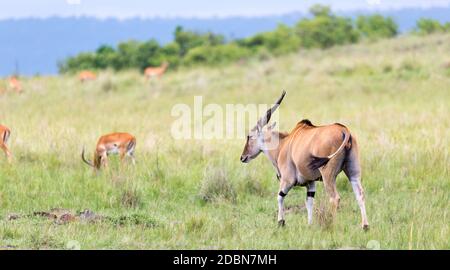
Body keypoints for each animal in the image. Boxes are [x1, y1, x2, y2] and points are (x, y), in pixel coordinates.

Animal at [239, 91, 370, 230]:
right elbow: (309, 202)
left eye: (249, 136)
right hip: (353, 172)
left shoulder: (287, 180)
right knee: (360, 194)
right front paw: (310, 224)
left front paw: (281, 222)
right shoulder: (310, 183)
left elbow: (279, 197)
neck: (283, 144)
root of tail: (345, 130)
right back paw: (365, 226)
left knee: (334, 198)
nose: (243, 157)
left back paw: (333, 226)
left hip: (328, 175)